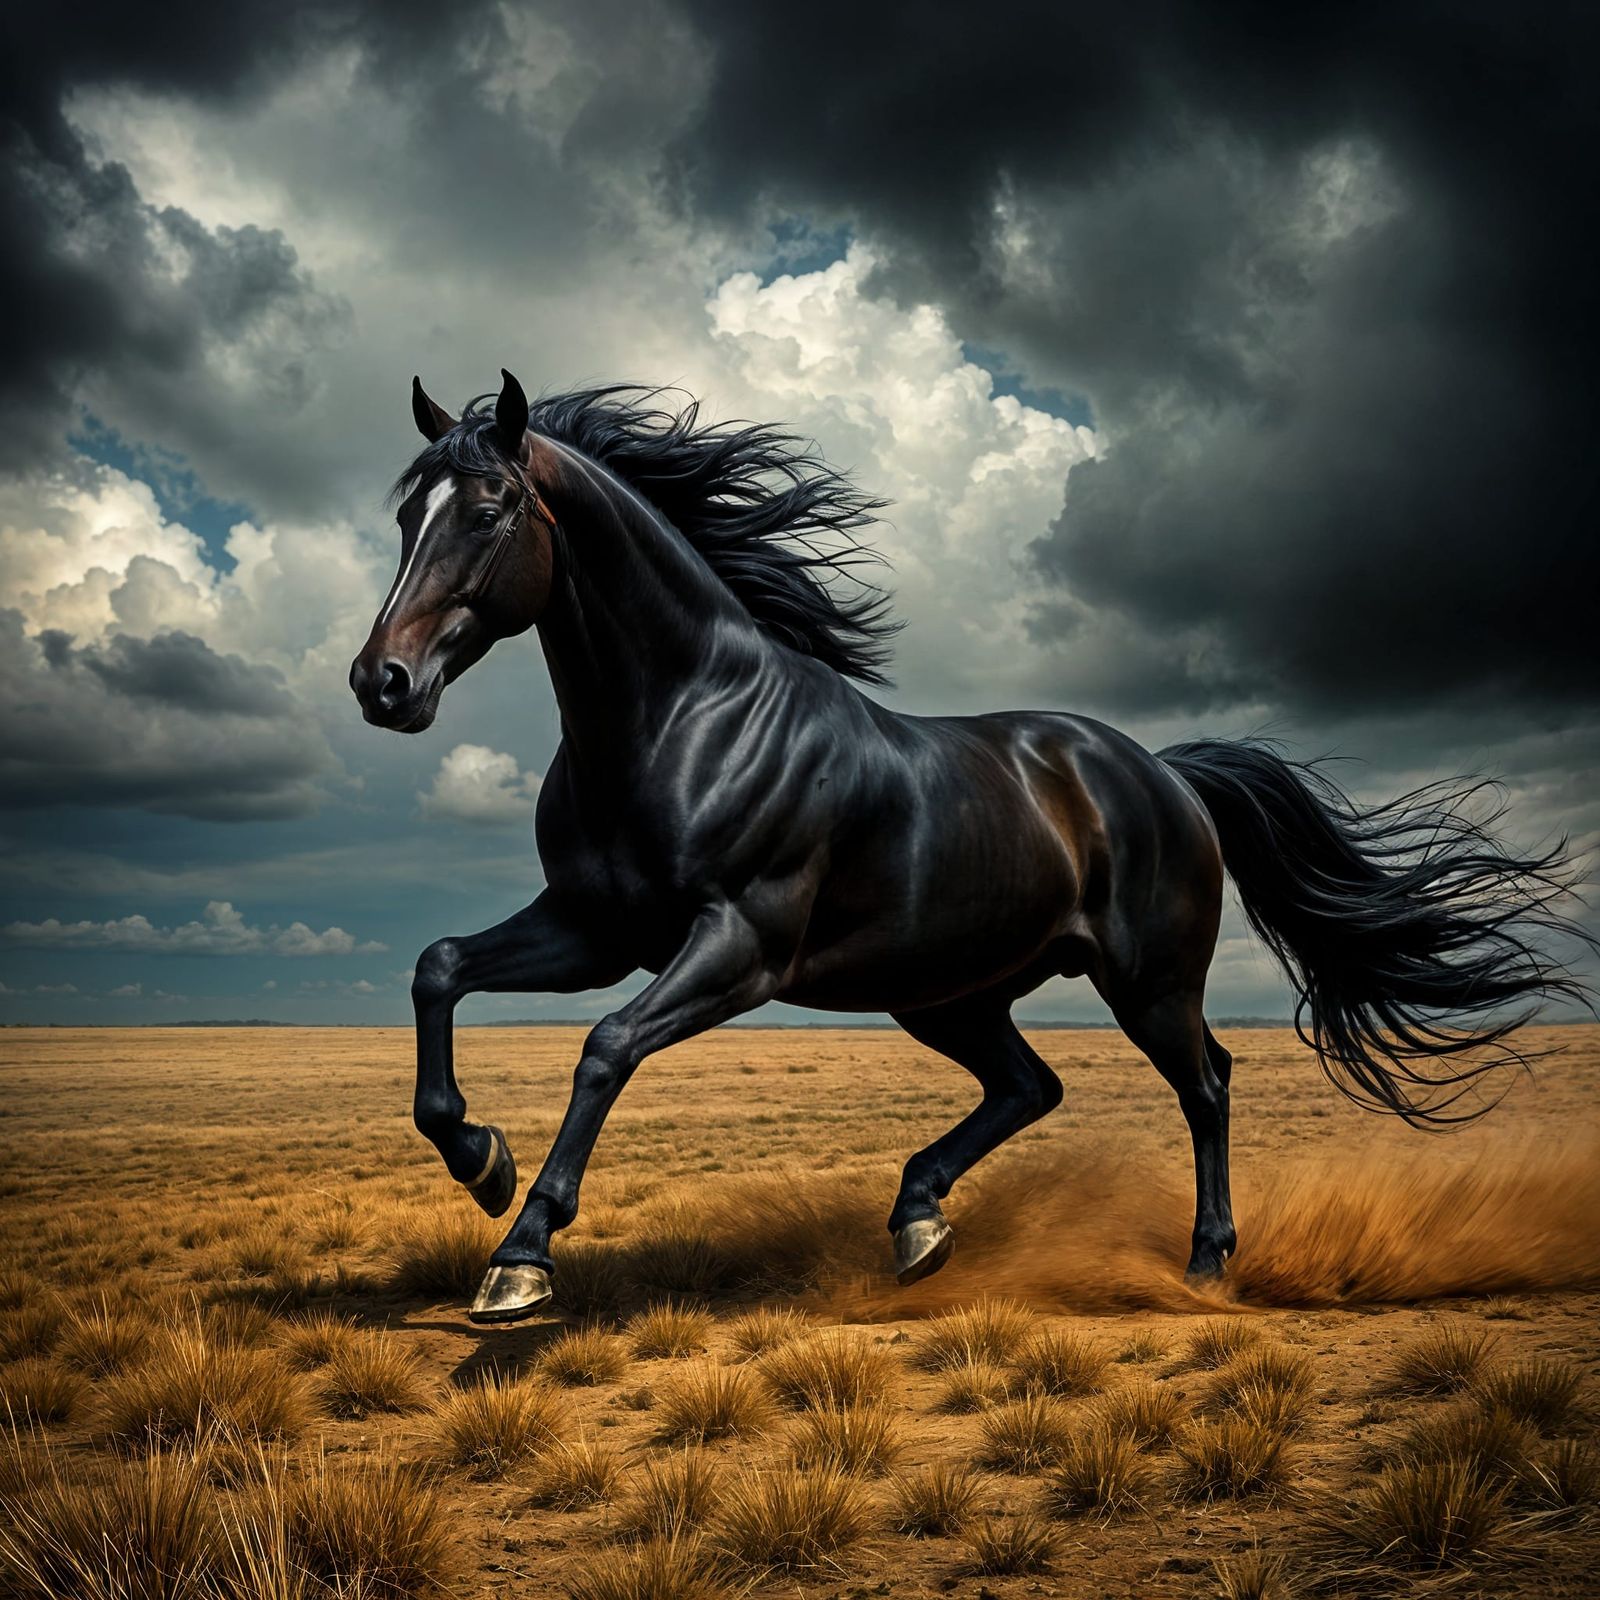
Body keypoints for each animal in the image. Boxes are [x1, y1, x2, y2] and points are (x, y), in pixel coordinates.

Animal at [350, 369, 1590, 1325]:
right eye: (407, 514)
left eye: (491, 508)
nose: (381, 683)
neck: (680, 719)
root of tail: (1164, 773)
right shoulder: (596, 927)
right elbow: (439, 967)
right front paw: (481, 1161)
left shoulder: (738, 945)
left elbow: (605, 1045)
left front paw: (519, 1258)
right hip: (945, 991)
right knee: (1030, 1083)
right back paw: (918, 1223)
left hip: (1144, 981)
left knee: (1205, 1084)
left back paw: (1201, 1264)